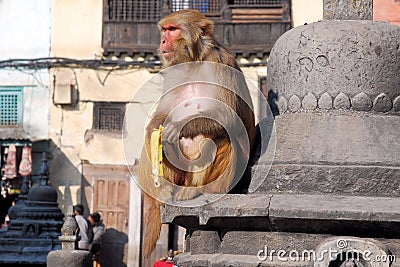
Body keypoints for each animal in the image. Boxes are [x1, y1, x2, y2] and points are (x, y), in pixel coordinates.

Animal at [138, 9, 256, 258]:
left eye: (173, 30)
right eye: (164, 30)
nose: (162, 41)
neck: (194, 60)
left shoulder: (220, 62)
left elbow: (228, 118)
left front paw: (178, 126)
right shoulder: (174, 71)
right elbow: (159, 117)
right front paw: (159, 127)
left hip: (223, 181)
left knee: (214, 139)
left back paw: (194, 192)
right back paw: (166, 190)